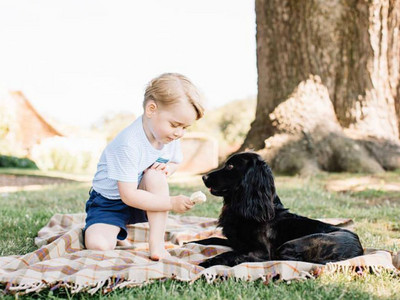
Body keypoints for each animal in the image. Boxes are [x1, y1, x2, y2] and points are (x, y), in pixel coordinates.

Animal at [192, 152, 364, 268]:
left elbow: (231, 253)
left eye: (230, 166)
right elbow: (211, 239)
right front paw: (191, 242)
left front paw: (208, 262)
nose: (204, 177)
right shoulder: (236, 241)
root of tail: (359, 250)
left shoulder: (261, 250)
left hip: (292, 245)